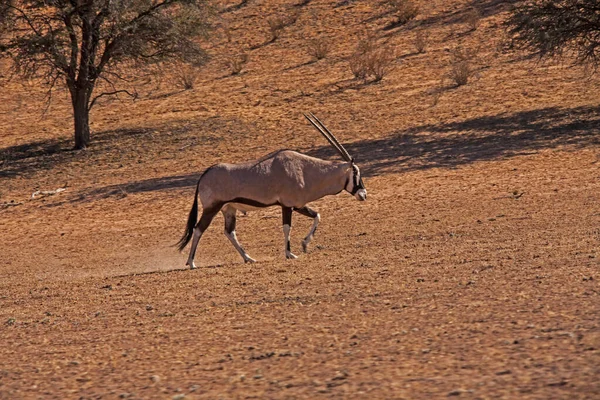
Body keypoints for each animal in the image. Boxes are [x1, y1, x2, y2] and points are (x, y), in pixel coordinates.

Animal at [176, 113, 368, 268]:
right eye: (356, 172)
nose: (363, 195)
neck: (305, 170)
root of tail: (204, 175)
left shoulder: (298, 205)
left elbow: (317, 216)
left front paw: (305, 244)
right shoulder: (287, 205)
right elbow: (286, 227)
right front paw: (290, 253)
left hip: (229, 209)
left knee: (229, 232)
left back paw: (248, 258)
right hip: (212, 208)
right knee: (198, 229)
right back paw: (191, 262)